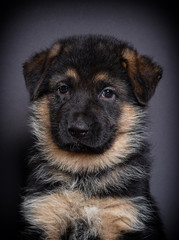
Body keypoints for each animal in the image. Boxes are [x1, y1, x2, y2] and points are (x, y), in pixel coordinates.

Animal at [22, 34, 165, 239]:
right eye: (63, 88)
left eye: (107, 92)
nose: (78, 129)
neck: (84, 174)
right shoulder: (44, 215)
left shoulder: (123, 216)